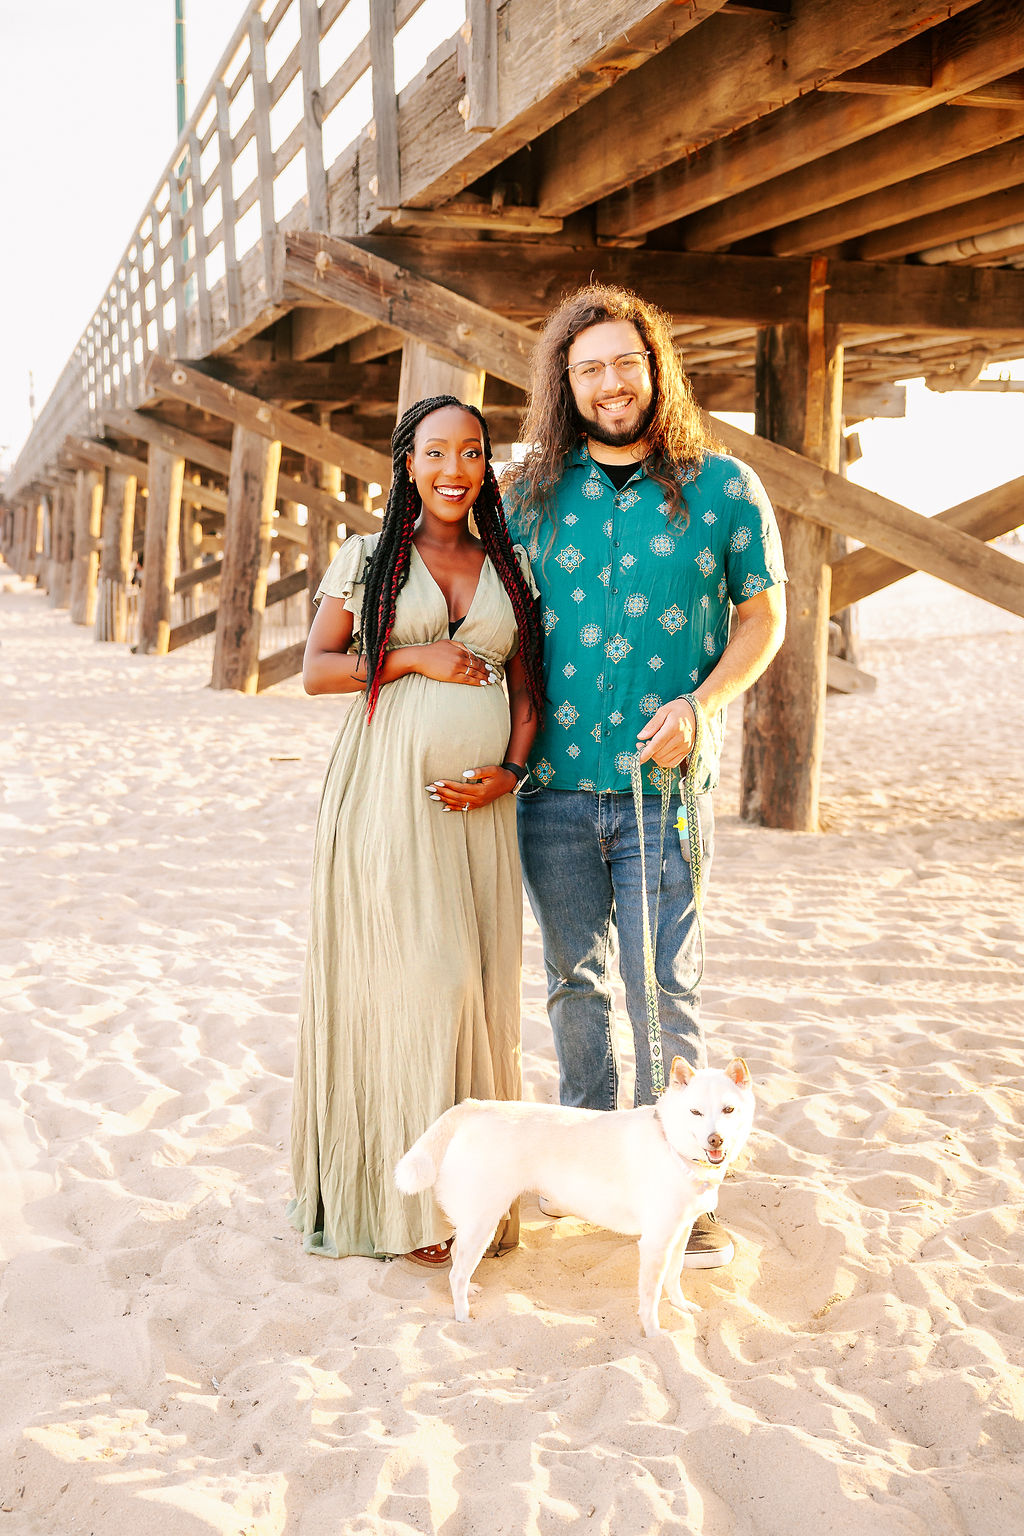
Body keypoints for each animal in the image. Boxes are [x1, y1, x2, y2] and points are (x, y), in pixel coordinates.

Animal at [393, 1056, 752, 1333]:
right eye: (695, 1112)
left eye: (729, 1109)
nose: (716, 1140)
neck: (672, 1144)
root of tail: (475, 1107)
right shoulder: (654, 1243)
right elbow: (649, 1297)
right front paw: (654, 1334)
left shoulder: (680, 1232)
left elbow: (674, 1275)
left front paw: (681, 1306)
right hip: (484, 1220)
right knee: (456, 1272)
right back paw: (463, 1316)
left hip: (477, 1222)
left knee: (457, 1259)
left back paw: (472, 1289)